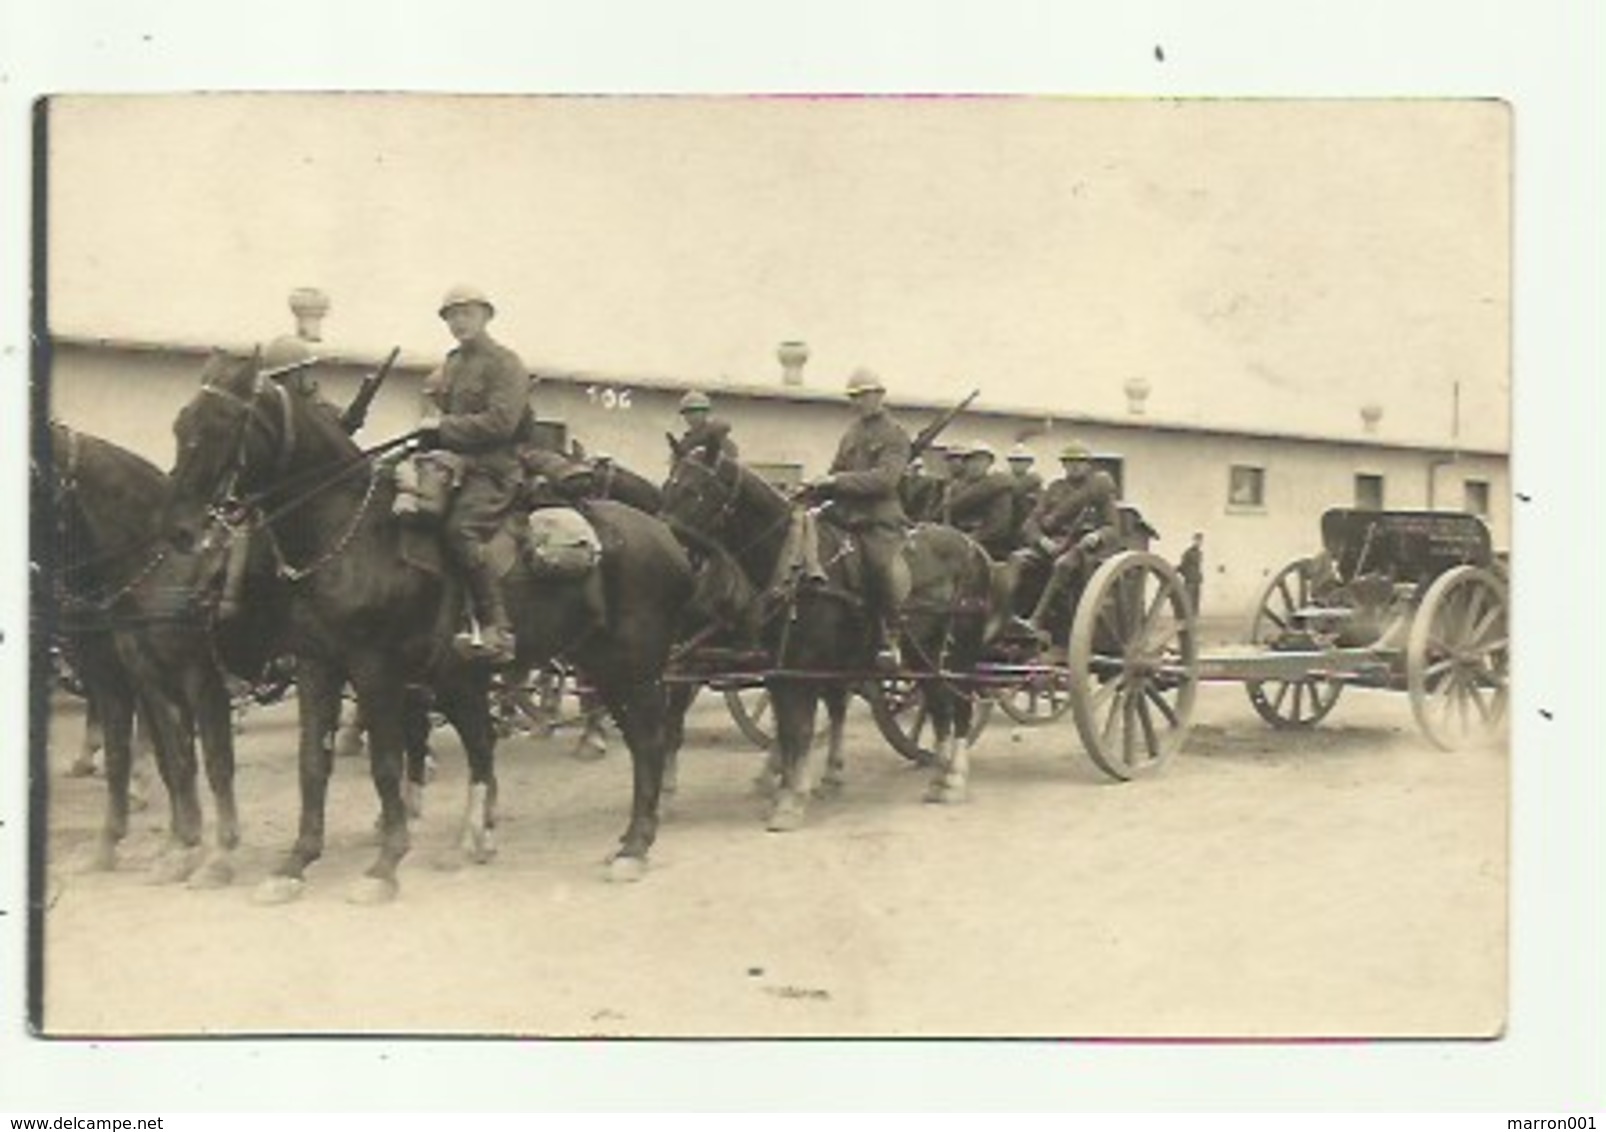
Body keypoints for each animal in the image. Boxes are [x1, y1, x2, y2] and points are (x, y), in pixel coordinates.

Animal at [36, 417, 284, 886]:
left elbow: (213, 763)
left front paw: (216, 854)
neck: (165, 565)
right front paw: (149, 847)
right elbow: (162, 760)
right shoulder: (135, 679)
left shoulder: (200, 681)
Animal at [167, 348, 697, 899]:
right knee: (632, 742)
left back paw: (635, 847)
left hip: (634, 668)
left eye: (223, 423)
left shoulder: (376, 670)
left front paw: (384, 865)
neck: (347, 535)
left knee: (650, 743)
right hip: (601, 666)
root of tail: (668, 540)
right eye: (181, 425)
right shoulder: (318, 666)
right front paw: (294, 864)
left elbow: (387, 763)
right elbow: (313, 763)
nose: (181, 529)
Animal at [658, 433, 995, 828]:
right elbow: (787, 728)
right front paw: (785, 787)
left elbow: (798, 729)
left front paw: (790, 801)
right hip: (919, 653)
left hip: (956, 651)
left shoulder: (796, 666)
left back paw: (953, 779)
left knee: (960, 705)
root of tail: (976, 550)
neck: (792, 563)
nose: (664, 546)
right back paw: (937, 778)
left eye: (694, 491)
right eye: (667, 486)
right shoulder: (777, 667)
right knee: (938, 706)